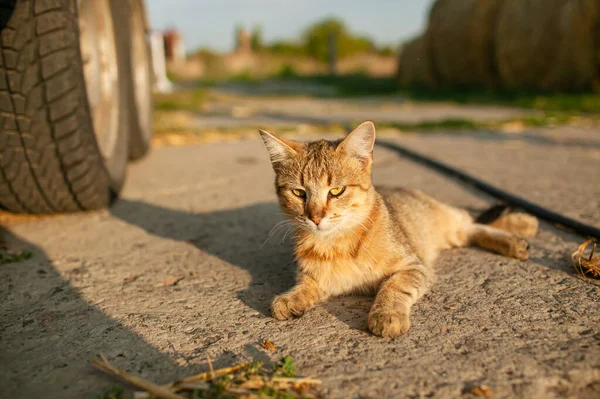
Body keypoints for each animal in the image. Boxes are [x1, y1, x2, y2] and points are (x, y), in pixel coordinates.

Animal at [258, 121, 540, 338]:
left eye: (336, 191)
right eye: (299, 193)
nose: (315, 218)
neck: (336, 244)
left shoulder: (413, 266)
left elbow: (392, 288)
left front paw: (387, 314)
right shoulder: (318, 277)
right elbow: (306, 283)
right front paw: (292, 297)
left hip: (444, 219)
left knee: (471, 221)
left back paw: (521, 229)